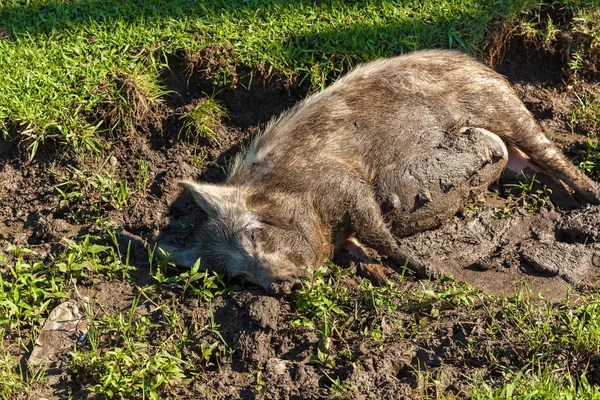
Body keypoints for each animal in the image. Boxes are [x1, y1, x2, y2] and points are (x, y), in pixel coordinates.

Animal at [170, 50, 600, 290]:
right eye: (237, 276)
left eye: (255, 233)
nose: (279, 285)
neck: (291, 185)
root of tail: (477, 64)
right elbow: (363, 250)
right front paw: (384, 277)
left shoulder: (346, 186)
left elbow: (377, 232)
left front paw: (432, 274)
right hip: (515, 163)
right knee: (537, 170)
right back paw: (564, 203)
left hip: (502, 108)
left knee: (551, 153)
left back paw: (589, 198)